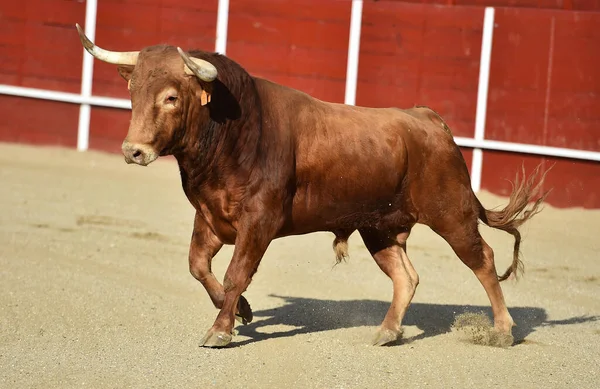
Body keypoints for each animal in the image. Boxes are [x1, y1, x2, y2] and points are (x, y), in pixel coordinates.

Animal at [75, 23, 548, 346]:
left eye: (172, 96)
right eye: (133, 90)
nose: (133, 150)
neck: (234, 132)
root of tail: (430, 120)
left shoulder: (259, 222)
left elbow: (234, 273)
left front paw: (221, 330)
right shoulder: (209, 216)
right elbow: (198, 266)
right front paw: (242, 312)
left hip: (451, 211)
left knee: (482, 259)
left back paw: (503, 330)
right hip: (380, 227)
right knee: (405, 275)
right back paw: (388, 331)